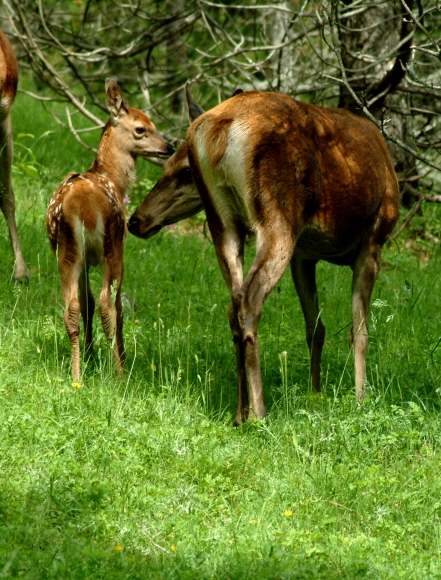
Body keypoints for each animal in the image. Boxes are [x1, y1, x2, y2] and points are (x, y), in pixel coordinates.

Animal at [47, 80, 173, 380]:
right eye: (141, 128)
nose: (169, 146)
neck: (111, 178)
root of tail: (80, 205)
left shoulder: (83, 261)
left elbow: (87, 302)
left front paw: (91, 355)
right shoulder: (120, 246)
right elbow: (116, 306)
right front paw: (121, 360)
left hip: (67, 250)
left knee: (72, 308)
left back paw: (77, 376)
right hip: (111, 244)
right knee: (108, 304)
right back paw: (118, 374)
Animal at [128, 89, 398, 422]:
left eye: (185, 169)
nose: (135, 220)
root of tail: (221, 127)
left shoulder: (304, 256)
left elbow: (315, 328)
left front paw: (316, 394)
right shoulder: (372, 243)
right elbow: (359, 333)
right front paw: (361, 401)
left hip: (223, 222)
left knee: (233, 303)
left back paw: (240, 411)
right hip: (277, 215)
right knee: (249, 299)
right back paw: (259, 412)